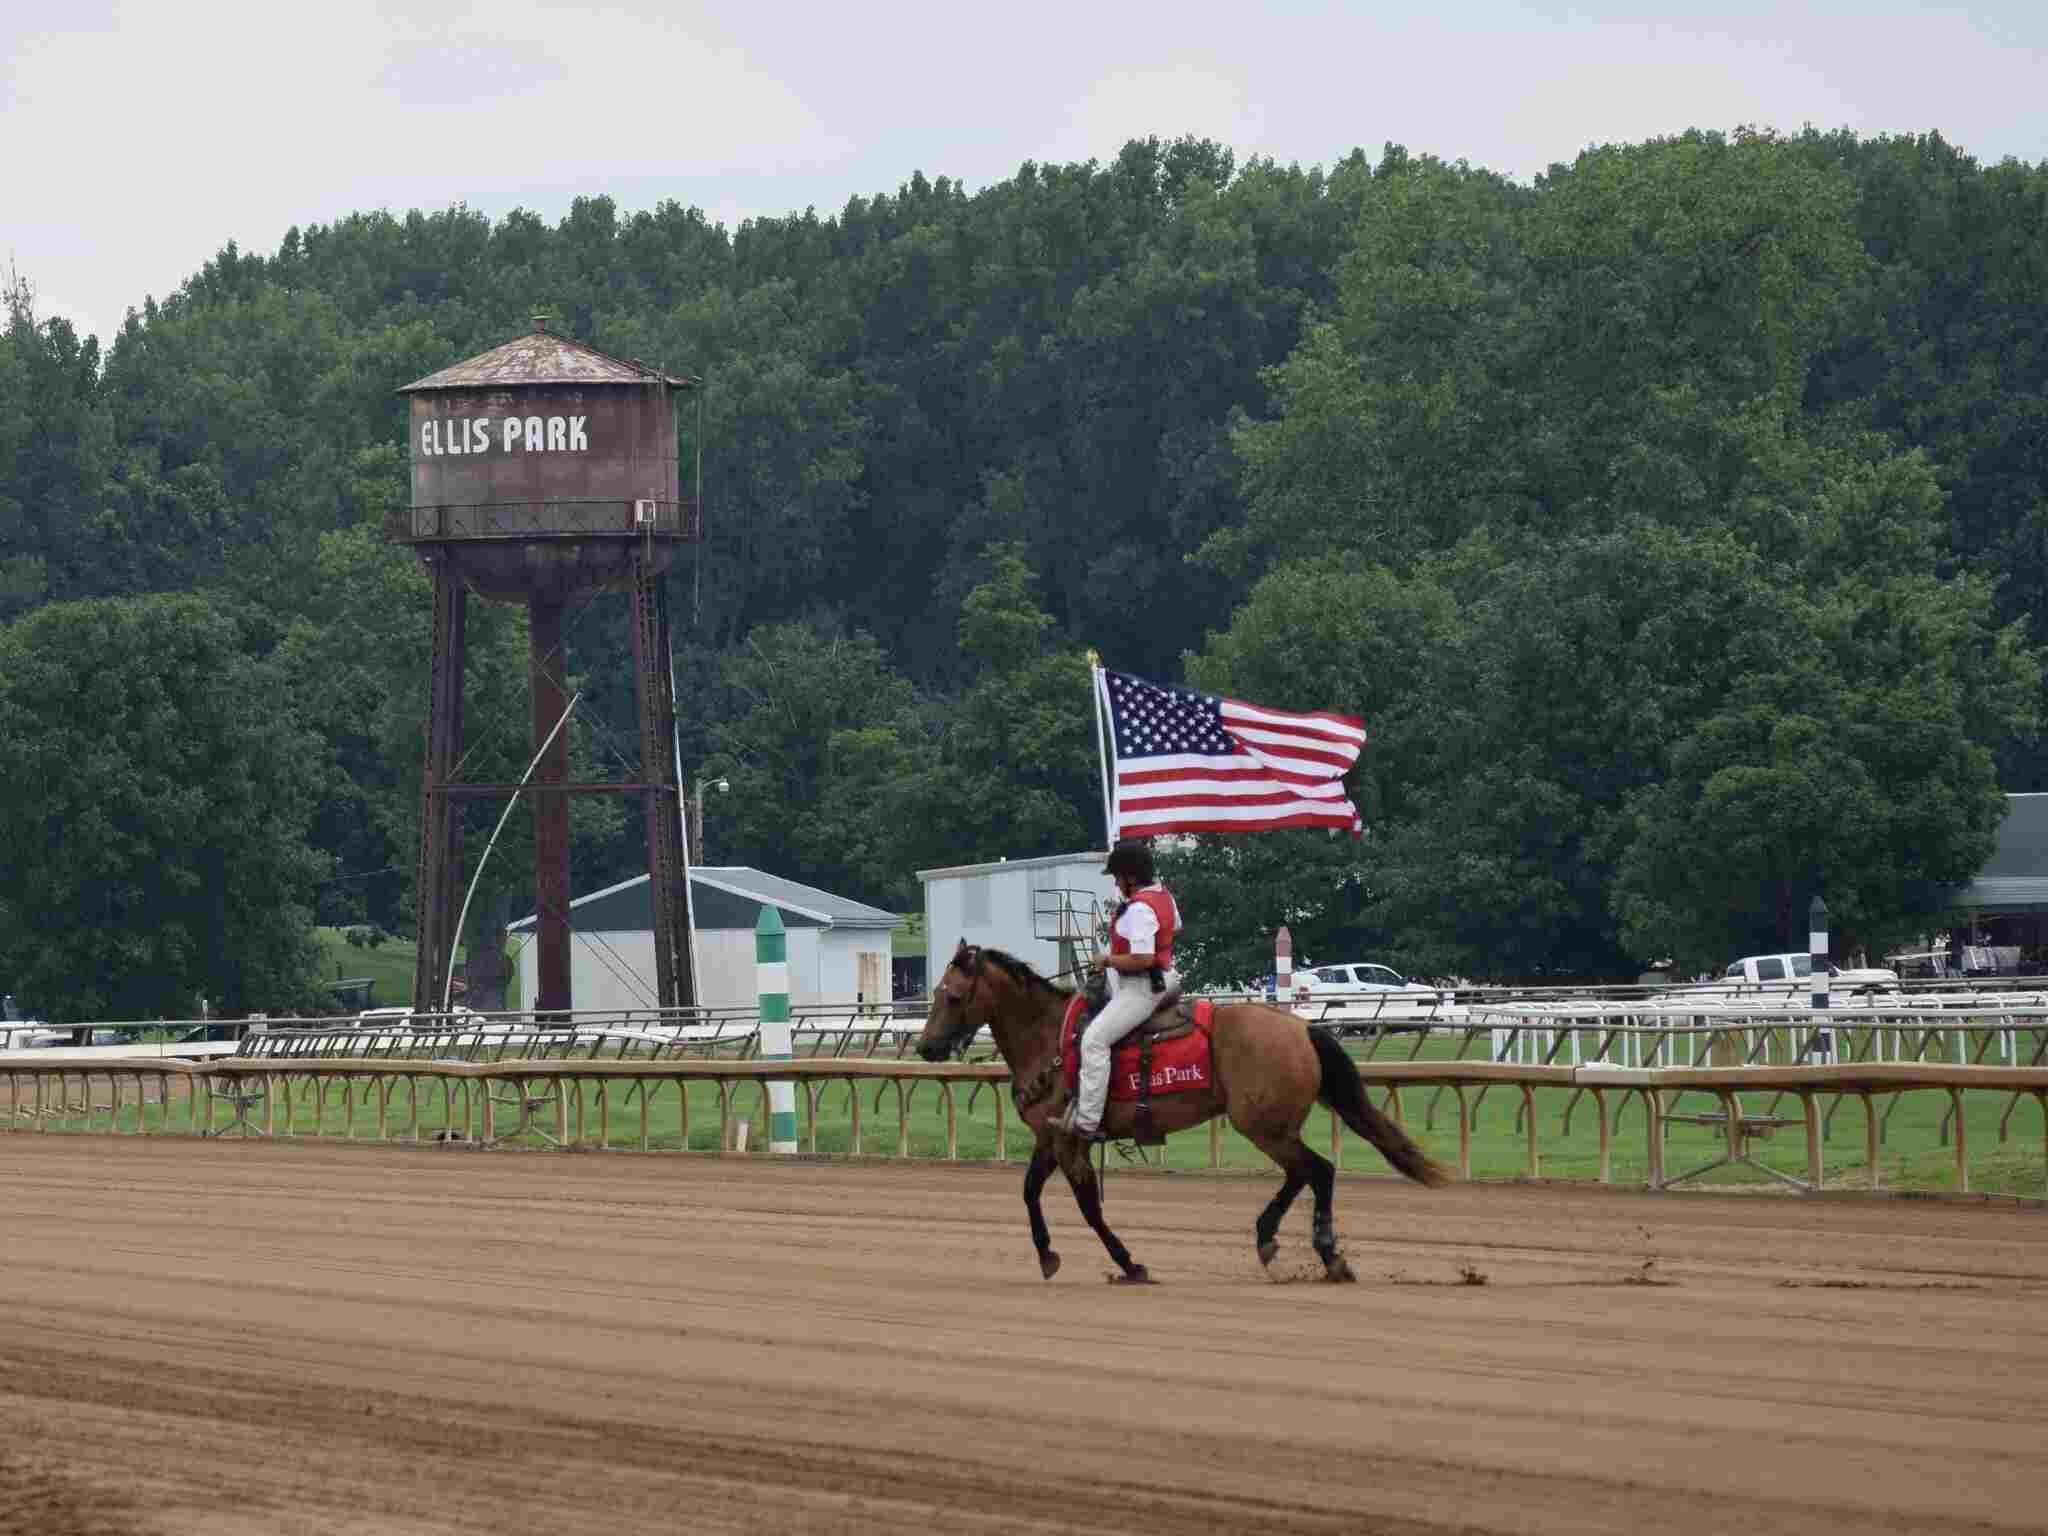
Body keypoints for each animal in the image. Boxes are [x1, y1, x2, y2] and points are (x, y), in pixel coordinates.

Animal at [921, 937, 1449, 1286]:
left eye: (952, 995)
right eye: (937, 993)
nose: (927, 1047)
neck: (1050, 1038)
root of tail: (1301, 1029)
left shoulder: (1071, 1140)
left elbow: (1090, 1207)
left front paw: (1129, 1263)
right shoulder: (1050, 1137)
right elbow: (1030, 1191)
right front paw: (1047, 1253)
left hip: (1264, 1127)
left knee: (1317, 1170)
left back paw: (1317, 1252)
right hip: (1271, 1128)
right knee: (1308, 1173)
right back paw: (1279, 1240)